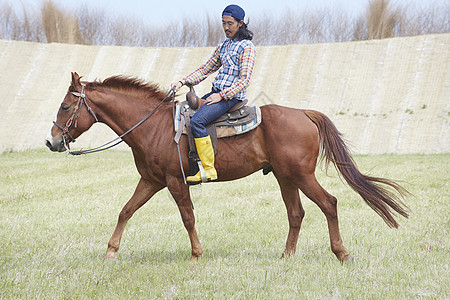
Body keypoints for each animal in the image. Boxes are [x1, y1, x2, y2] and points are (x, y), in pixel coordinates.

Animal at [46, 72, 412, 260]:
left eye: (65, 106)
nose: (52, 141)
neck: (153, 126)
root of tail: (304, 114)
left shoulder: (174, 181)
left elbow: (188, 217)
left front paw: (196, 255)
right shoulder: (151, 181)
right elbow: (126, 210)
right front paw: (111, 251)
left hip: (301, 175)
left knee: (329, 203)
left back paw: (341, 252)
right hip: (285, 177)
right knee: (296, 213)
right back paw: (286, 256)